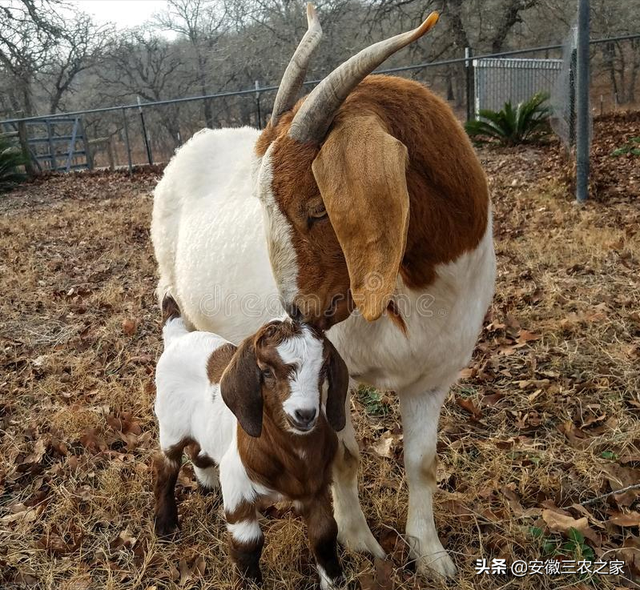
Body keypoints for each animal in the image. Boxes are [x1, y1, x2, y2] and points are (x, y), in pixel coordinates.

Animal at [152, 4, 498, 580]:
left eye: (317, 207)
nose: (296, 311)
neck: (413, 290)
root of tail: (191, 144)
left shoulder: (435, 374)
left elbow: (422, 463)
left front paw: (430, 554)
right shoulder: (337, 374)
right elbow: (345, 459)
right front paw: (360, 542)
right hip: (180, 299)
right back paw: (204, 475)